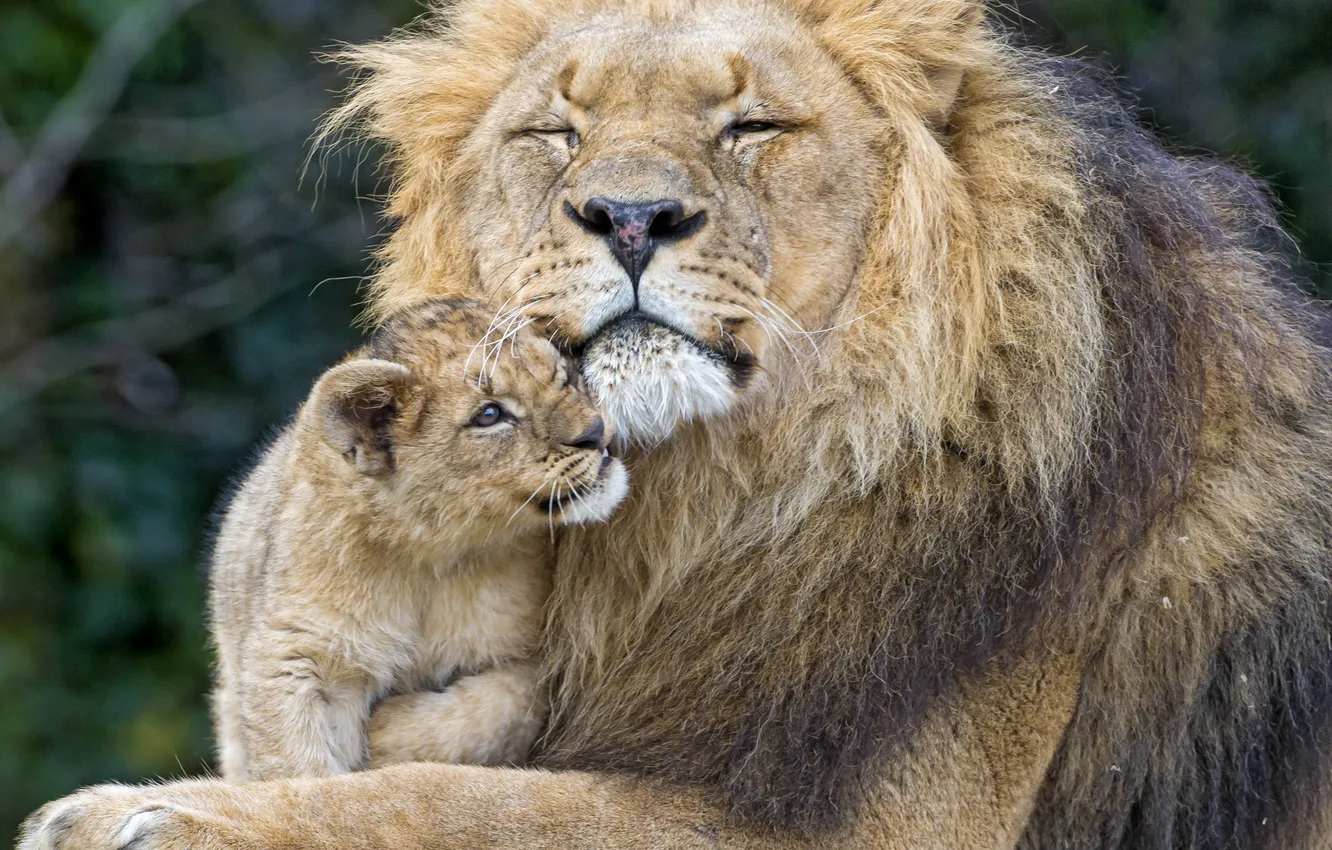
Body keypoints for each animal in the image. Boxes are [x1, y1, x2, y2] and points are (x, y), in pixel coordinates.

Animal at [208, 299, 626, 781]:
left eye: (564, 376)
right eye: (489, 415)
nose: (596, 433)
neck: (433, 553)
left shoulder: (537, 658)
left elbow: (498, 710)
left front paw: (385, 734)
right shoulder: (298, 650)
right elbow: (297, 768)